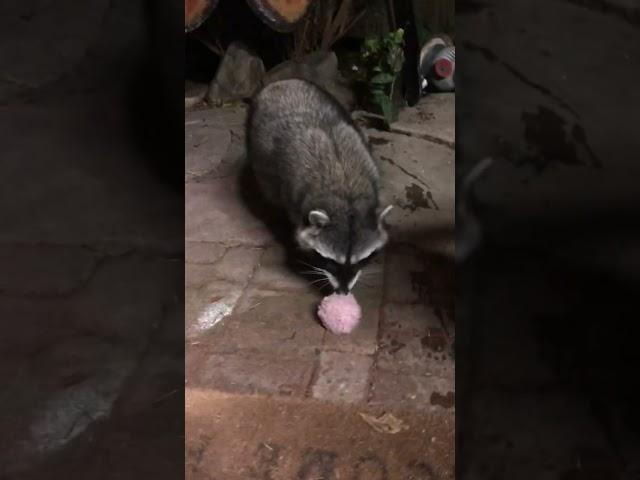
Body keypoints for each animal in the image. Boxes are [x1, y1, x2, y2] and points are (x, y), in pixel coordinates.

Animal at [248, 79, 392, 292]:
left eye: (360, 261)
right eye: (332, 261)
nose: (343, 292)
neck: (346, 196)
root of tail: (282, 82)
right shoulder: (294, 195)